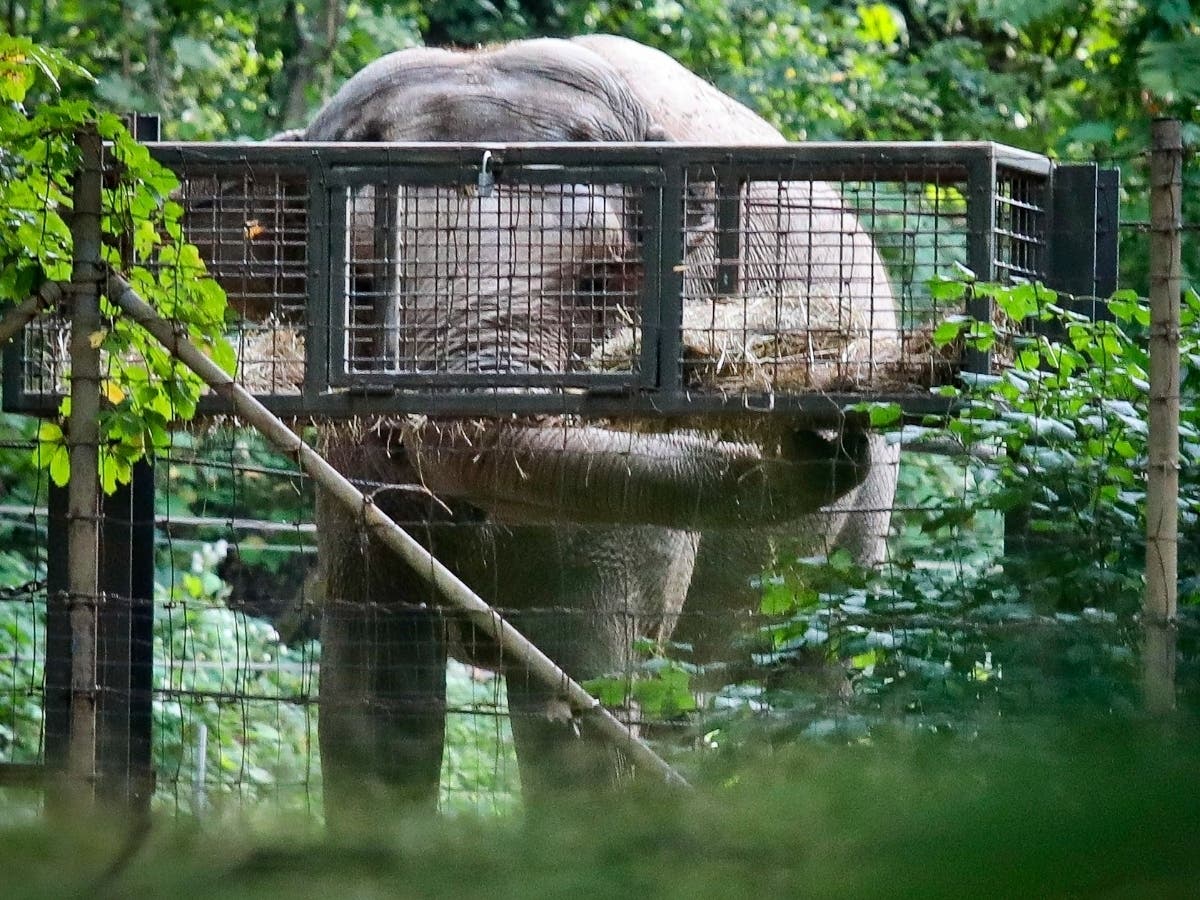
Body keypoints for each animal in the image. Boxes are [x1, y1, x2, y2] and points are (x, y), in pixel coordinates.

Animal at [193, 36, 899, 816]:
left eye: (600, 279)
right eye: (363, 283)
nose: (828, 433)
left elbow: (579, 714)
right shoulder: (350, 477)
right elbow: (374, 715)